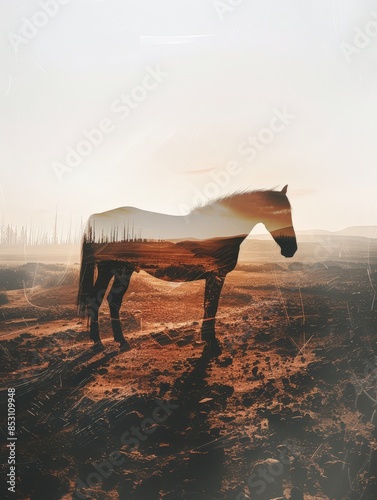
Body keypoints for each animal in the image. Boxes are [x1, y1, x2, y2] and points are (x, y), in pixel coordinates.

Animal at [76, 186, 296, 358]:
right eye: (280, 213)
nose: (291, 249)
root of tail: (98, 218)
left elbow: (209, 307)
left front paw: (208, 341)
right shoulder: (217, 275)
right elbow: (211, 307)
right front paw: (212, 344)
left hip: (119, 271)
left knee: (109, 300)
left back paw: (114, 341)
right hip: (113, 269)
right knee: (99, 300)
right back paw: (103, 341)